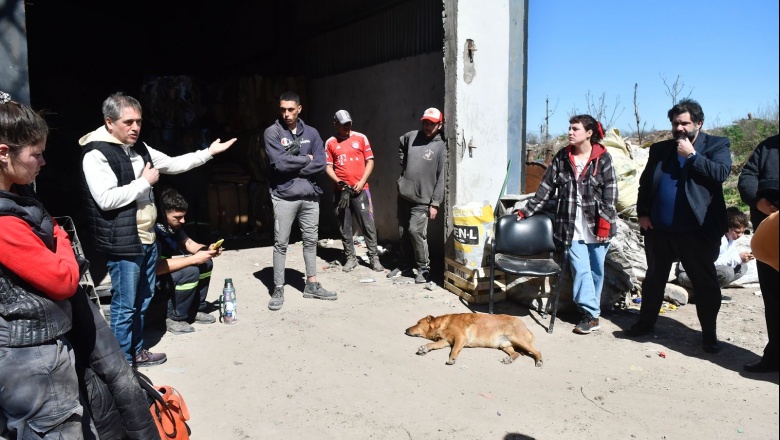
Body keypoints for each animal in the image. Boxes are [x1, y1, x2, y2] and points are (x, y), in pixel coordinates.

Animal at [408, 312, 544, 368]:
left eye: (418, 323)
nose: (406, 330)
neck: (442, 324)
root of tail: (525, 326)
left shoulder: (460, 338)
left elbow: (454, 350)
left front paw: (452, 359)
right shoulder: (445, 341)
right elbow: (432, 344)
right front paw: (425, 348)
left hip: (518, 339)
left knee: (537, 351)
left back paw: (539, 361)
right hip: (504, 345)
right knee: (516, 354)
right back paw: (508, 359)